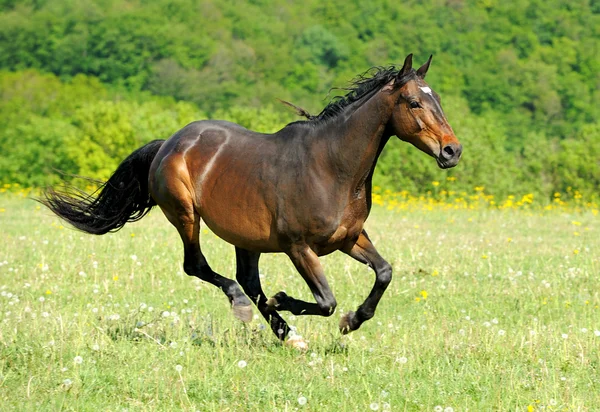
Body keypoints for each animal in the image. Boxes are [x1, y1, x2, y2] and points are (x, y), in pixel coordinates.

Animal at [39, 54, 462, 344]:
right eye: (414, 103)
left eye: (438, 99)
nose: (452, 151)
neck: (331, 167)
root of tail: (170, 143)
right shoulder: (298, 247)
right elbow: (326, 301)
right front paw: (285, 299)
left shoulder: (349, 238)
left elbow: (384, 272)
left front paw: (352, 320)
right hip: (186, 215)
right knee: (200, 267)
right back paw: (251, 310)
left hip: (247, 237)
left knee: (246, 278)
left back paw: (289, 336)